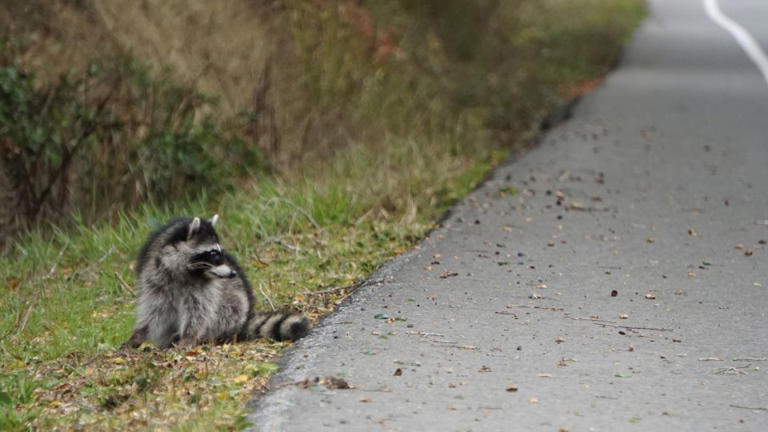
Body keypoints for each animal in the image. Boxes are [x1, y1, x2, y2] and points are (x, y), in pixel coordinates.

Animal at [123, 215, 309, 349]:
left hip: (236, 306)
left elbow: (198, 312)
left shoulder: (204, 288)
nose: (233, 273)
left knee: (226, 310)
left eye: (220, 252)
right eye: (213, 253)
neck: (185, 272)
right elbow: (153, 310)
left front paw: (188, 337)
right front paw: (138, 335)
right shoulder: (155, 280)